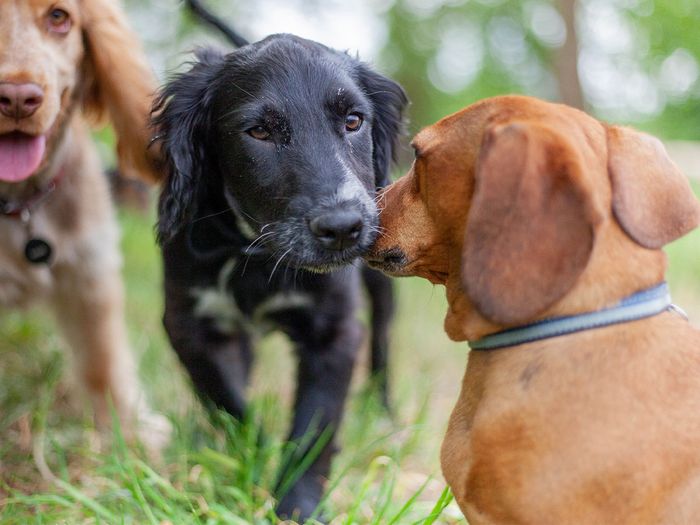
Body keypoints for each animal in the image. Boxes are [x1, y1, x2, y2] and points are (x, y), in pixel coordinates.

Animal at [152, 8, 404, 520]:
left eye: (354, 120)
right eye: (259, 132)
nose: (343, 227)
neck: (258, 255)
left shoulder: (335, 331)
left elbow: (314, 426)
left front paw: (298, 505)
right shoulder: (187, 323)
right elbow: (227, 399)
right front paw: (250, 455)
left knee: (384, 342)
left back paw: (385, 415)